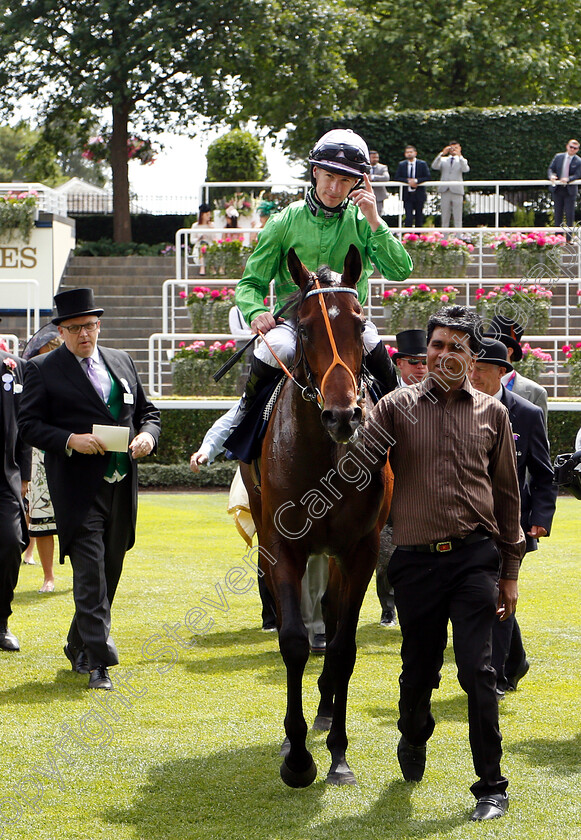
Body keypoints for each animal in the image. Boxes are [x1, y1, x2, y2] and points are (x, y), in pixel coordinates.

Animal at [238, 243, 392, 788]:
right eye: (303, 328)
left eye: (359, 322)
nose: (343, 416)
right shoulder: (283, 546)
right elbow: (293, 641)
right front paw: (298, 755)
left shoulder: (361, 549)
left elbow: (343, 648)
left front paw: (338, 754)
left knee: (330, 615)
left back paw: (326, 711)